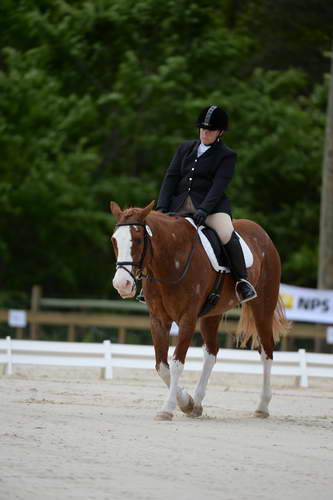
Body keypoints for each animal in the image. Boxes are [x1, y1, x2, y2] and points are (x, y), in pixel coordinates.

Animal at [110, 201, 286, 420]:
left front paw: (167, 409)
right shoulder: (158, 319)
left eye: (138, 239)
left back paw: (262, 407)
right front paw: (186, 402)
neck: (170, 261)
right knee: (211, 352)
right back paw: (197, 403)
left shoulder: (188, 318)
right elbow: (162, 366)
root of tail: (262, 233)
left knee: (266, 349)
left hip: (262, 306)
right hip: (212, 314)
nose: (122, 284)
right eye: (114, 241)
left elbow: (176, 364)